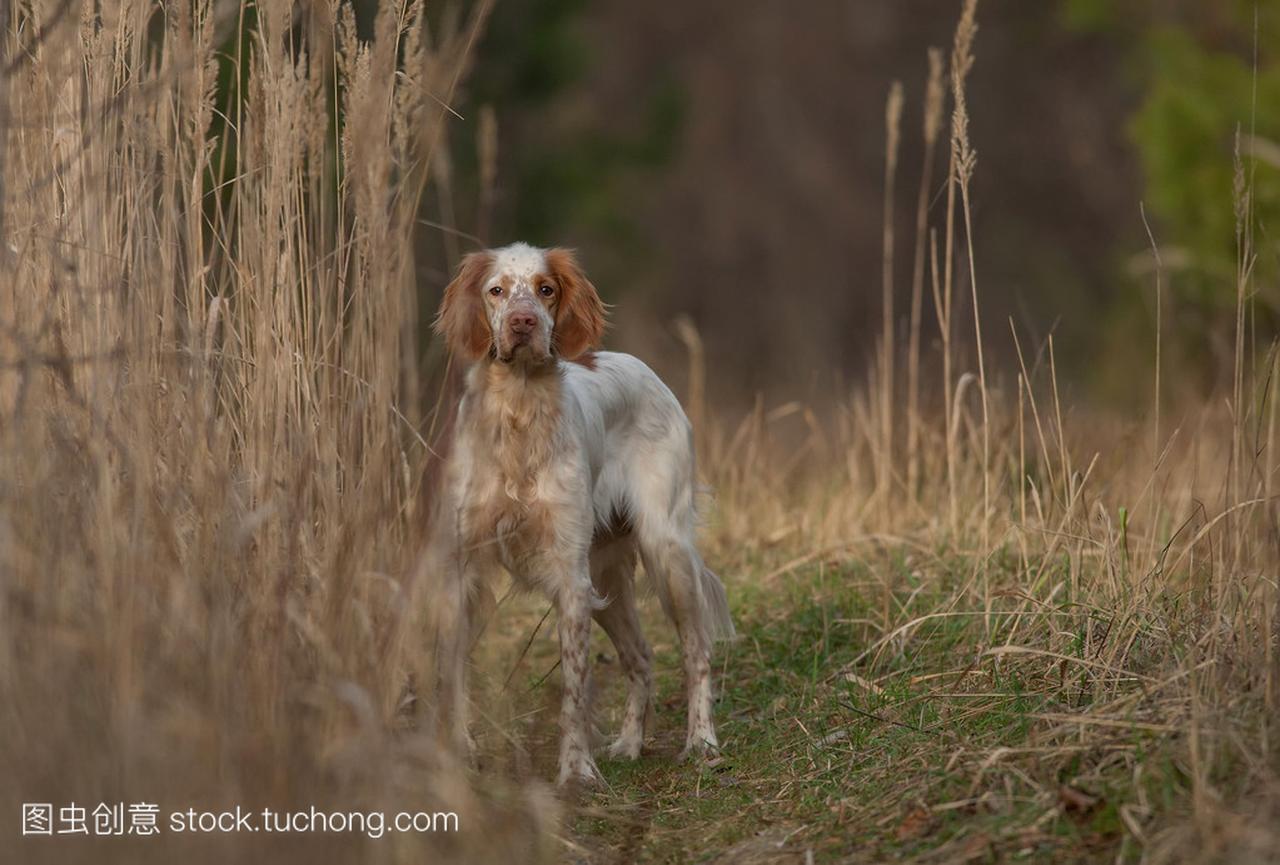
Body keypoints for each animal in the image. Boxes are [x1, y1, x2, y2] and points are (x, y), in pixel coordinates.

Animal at [427, 241, 732, 783]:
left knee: (696, 650)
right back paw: (630, 743)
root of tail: (643, 368)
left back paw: (701, 741)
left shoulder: (571, 578)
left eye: (546, 289)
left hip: (665, 550)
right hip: (606, 575)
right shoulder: (462, 571)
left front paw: (577, 770)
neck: (520, 412)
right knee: (641, 657)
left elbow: (574, 685)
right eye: (497, 290)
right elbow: (453, 671)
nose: (523, 321)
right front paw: (459, 749)